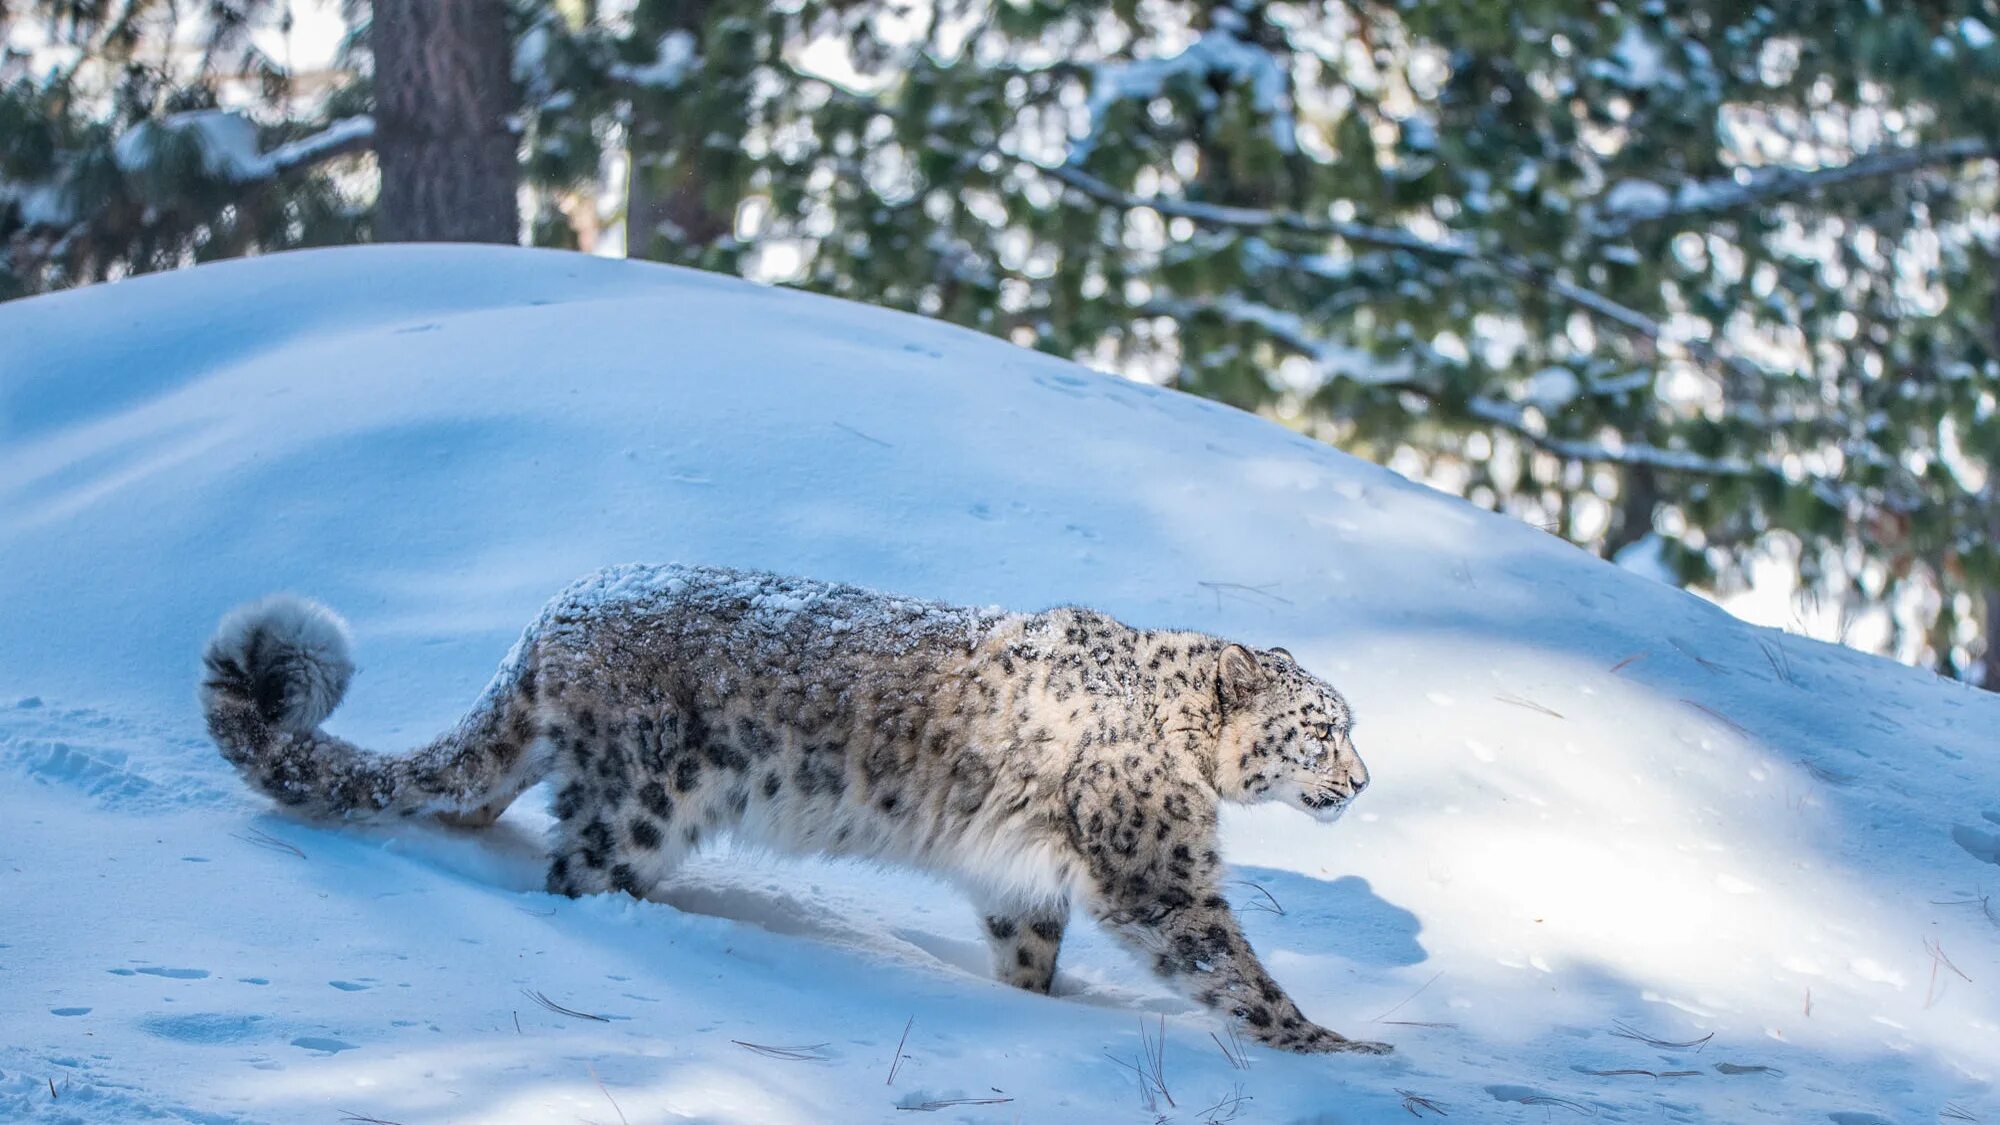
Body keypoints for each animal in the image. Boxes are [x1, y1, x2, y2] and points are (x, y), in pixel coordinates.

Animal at [203, 560, 1392, 1048]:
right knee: (575, 872)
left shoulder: (1019, 878)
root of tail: (551, 617)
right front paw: (1338, 1052)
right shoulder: (1159, 871)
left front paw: (1030, 1008)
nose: (1362, 781)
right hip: (641, 800)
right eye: (1323, 725)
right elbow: (1231, 969)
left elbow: (1028, 951)